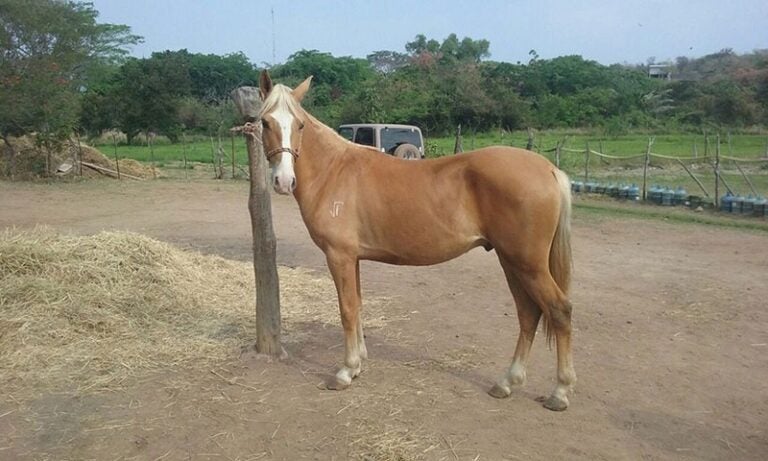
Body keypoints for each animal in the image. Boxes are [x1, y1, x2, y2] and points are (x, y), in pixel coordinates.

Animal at [258, 71, 576, 410]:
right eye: (265, 122)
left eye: (299, 125)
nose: (283, 181)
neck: (334, 171)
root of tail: (550, 169)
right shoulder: (352, 258)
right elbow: (357, 304)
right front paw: (358, 365)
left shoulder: (338, 256)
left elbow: (347, 309)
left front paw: (345, 372)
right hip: (511, 261)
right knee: (528, 313)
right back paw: (507, 383)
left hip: (527, 264)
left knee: (559, 310)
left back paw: (559, 392)